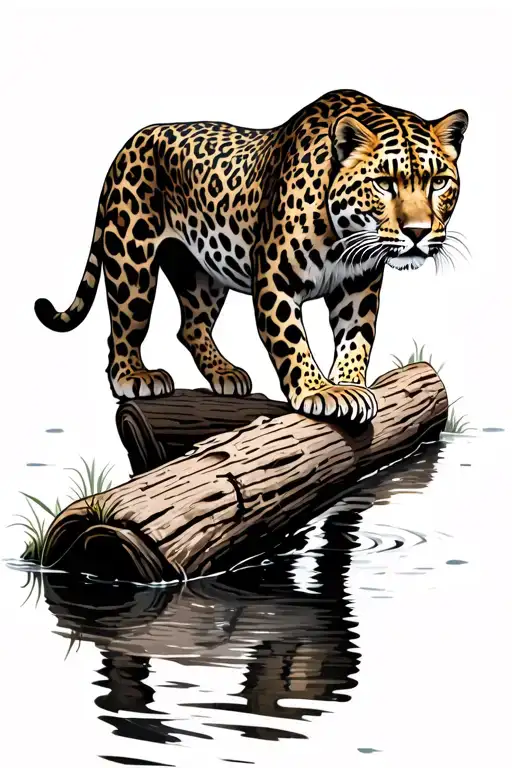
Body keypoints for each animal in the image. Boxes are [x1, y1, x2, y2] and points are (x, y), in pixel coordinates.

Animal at [35, 89, 468, 423]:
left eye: (438, 182)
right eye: (384, 183)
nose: (417, 232)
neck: (343, 236)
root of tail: (131, 142)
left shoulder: (358, 285)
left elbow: (357, 337)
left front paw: (348, 382)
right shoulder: (276, 279)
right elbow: (290, 338)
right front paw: (319, 391)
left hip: (202, 274)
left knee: (190, 326)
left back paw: (225, 374)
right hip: (132, 259)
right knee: (124, 325)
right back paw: (134, 375)